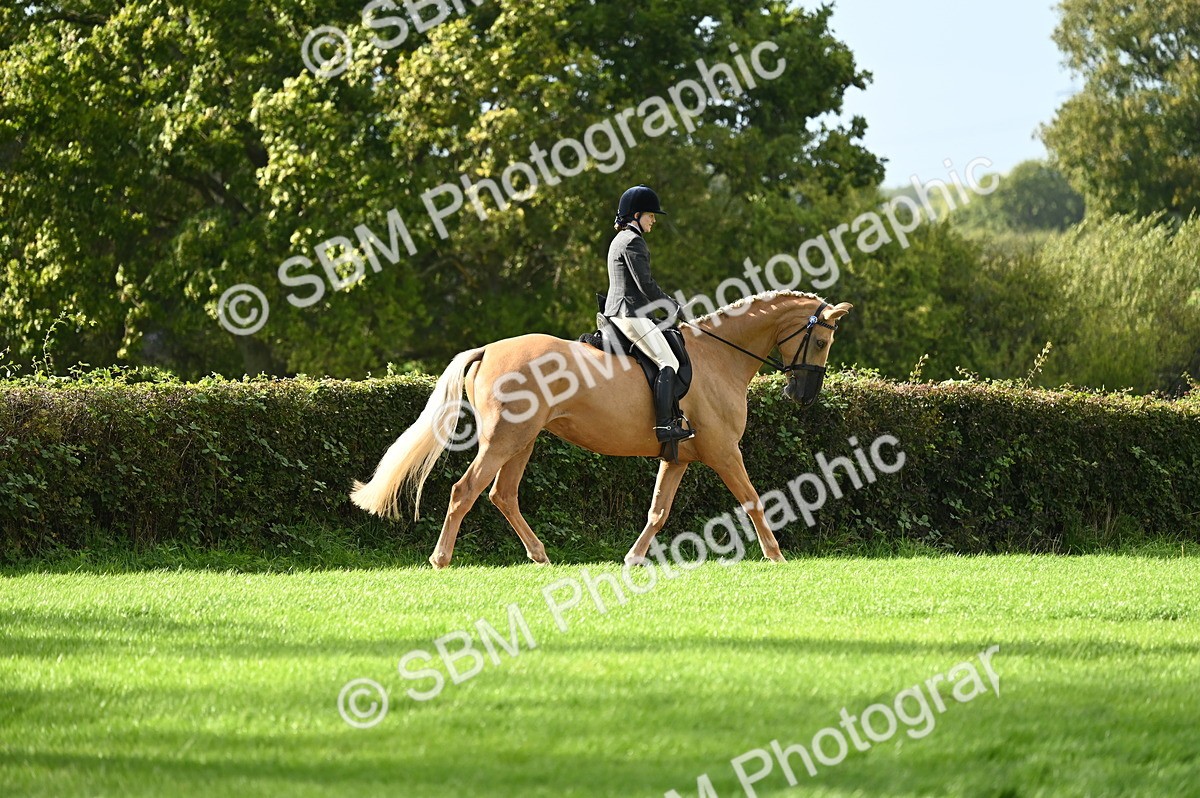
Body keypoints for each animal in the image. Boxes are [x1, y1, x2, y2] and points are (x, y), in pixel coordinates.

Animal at [350, 291, 852, 568]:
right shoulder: (725, 452)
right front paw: (776, 555)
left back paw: (540, 556)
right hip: (503, 440)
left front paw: (632, 558)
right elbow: (752, 500)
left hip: (522, 441)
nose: (802, 396)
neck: (719, 356)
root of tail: (489, 348)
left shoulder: (679, 458)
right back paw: (441, 559)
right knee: (466, 490)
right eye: (822, 340)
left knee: (502, 495)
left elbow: (658, 511)